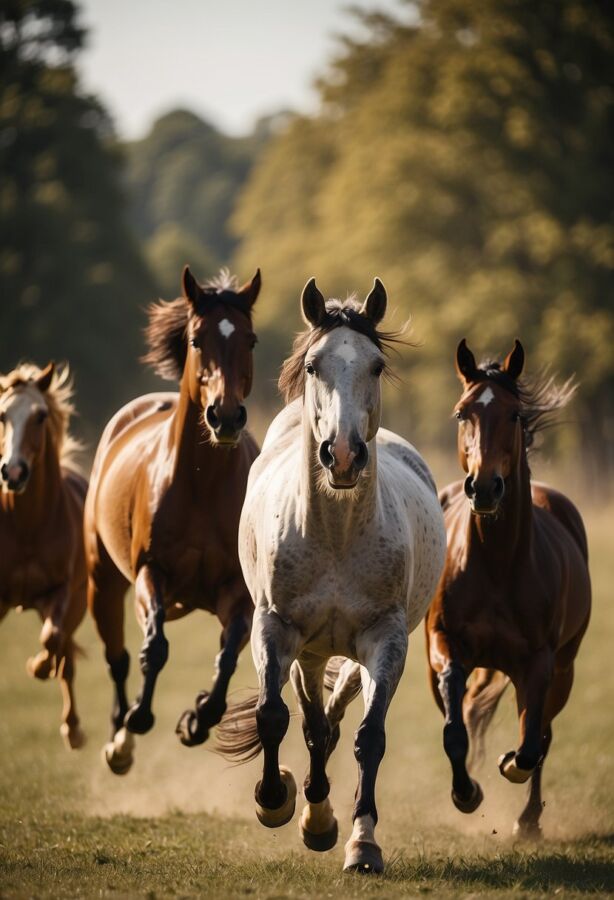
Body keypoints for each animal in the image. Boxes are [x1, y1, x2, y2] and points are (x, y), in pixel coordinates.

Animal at [84, 266, 261, 774]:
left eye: (251, 339)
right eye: (198, 339)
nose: (225, 417)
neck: (202, 485)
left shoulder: (237, 591)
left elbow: (228, 654)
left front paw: (197, 718)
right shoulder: (152, 571)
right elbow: (155, 647)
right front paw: (139, 718)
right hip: (102, 579)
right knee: (118, 655)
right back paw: (119, 740)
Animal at [217, 278, 446, 873]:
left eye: (376, 365)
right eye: (314, 365)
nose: (342, 455)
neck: (337, 537)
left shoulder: (386, 639)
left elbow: (370, 738)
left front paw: (363, 844)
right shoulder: (275, 628)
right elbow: (275, 716)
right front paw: (274, 800)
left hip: (347, 652)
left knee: (336, 715)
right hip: (309, 649)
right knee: (313, 723)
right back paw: (312, 814)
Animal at [425, 338, 591, 837]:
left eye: (515, 415)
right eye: (462, 413)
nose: (484, 488)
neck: (497, 564)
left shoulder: (540, 662)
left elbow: (532, 743)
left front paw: (508, 766)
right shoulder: (443, 645)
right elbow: (455, 728)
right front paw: (467, 792)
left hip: (565, 667)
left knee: (543, 734)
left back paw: (529, 820)